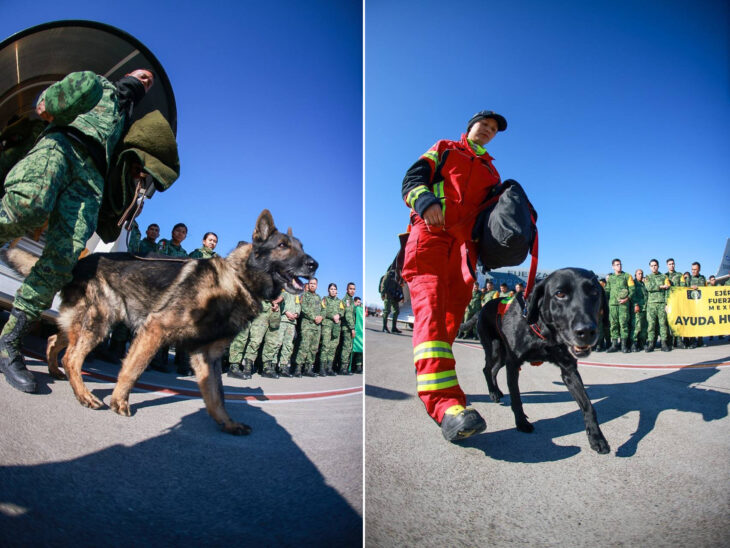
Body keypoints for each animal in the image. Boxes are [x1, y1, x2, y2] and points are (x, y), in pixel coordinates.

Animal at [3, 211, 316, 436]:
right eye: (283, 246)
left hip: (86, 323)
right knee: (72, 357)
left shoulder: (207, 356)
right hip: (100, 322)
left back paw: (56, 371)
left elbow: (217, 395)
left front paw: (227, 423)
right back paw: (83, 395)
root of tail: (78, 263)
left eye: (301, 247)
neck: (237, 280)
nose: (314, 265)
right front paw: (120, 402)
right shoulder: (155, 330)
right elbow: (133, 370)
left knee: (55, 340)